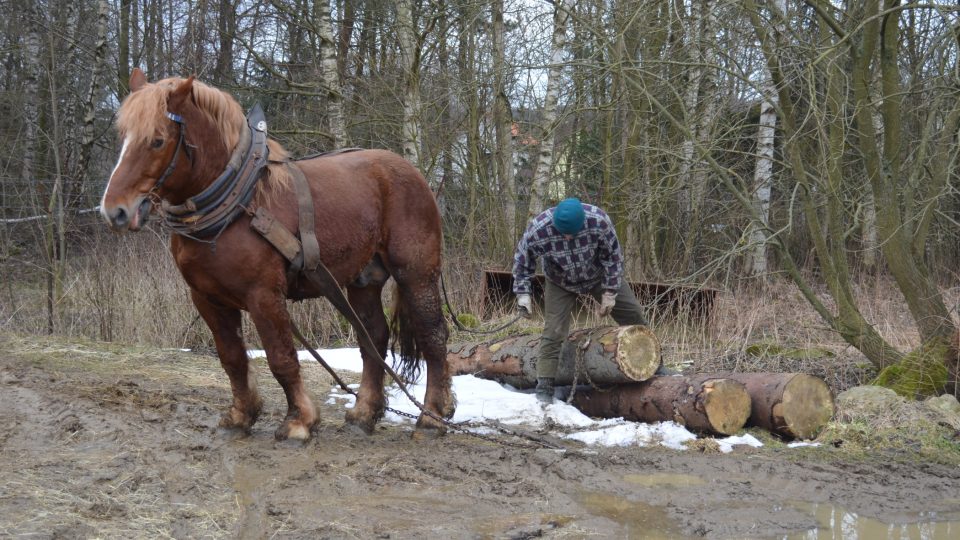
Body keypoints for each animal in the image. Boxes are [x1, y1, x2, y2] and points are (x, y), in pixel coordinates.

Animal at [99, 68, 456, 438]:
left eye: (157, 140)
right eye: (123, 136)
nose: (115, 211)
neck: (239, 203)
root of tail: (413, 174)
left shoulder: (264, 294)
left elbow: (281, 357)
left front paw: (300, 420)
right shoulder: (207, 298)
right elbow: (232, 358)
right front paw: (241, 415)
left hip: (416, 273)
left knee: (433, 337)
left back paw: (432, 416)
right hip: (363, 279)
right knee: (373, 335)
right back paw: (363, 414)